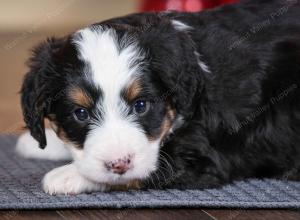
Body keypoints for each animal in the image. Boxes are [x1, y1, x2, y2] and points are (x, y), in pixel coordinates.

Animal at [16, 0, 300, 196]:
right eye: (81, 113)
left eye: (141, 106)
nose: (118, 164)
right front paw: (44, 143)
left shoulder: (203, 158)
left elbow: (151, 168)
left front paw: (66, 176)